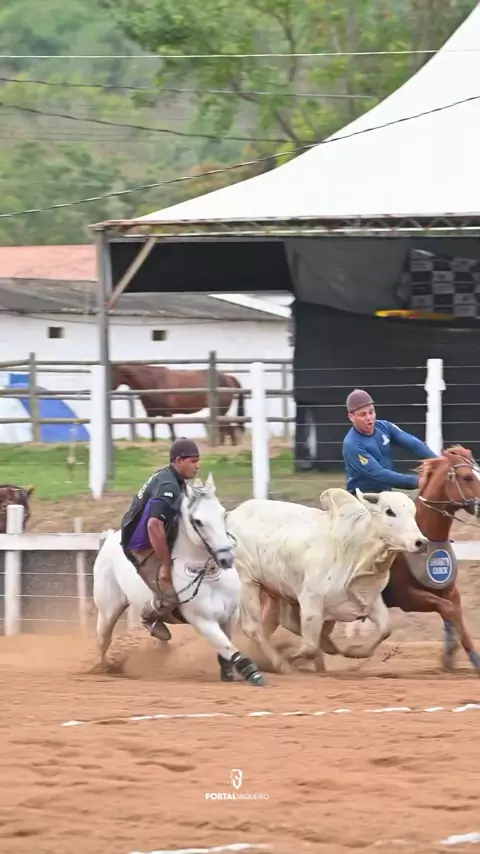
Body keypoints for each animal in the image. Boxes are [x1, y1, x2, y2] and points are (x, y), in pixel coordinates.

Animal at [92, 473, 266, 686]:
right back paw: (103, 669)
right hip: (108, 609)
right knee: (104, 639)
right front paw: (253, 673)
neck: (208, 576)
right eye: (198, 521)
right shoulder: (203, 621)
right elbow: (228, 648)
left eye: (223, 514)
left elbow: (227, 647)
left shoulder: (231, 615)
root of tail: (108, 539)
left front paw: (227, 672)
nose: (226, 558)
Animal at [110, 364, 245, 444]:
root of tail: (228, 377)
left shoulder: (167, 413)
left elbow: (172, 431)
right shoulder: (150, 413)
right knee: (224, 429)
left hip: (220, 410)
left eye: (111, 373)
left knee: (227, 429)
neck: (153, 382)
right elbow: (152, 431)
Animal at [227, 487, 428, 674]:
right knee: (253, 628)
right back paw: (282, 665)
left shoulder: (369, 599)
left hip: (276, 591)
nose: (421, 542)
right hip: (247, 583)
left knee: (275, 624)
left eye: (413, 513)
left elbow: (385, 629)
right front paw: (291, 658)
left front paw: (353, 651)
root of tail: (231, 516)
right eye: (389, 511)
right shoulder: (310, 602)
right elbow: (308, 646)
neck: (355, 550)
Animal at [345, 445, 480, 673]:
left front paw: (453, 657)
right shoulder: (408, 597)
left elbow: (454, 616)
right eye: (467, 477)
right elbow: (449, 610)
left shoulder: (449, 590)